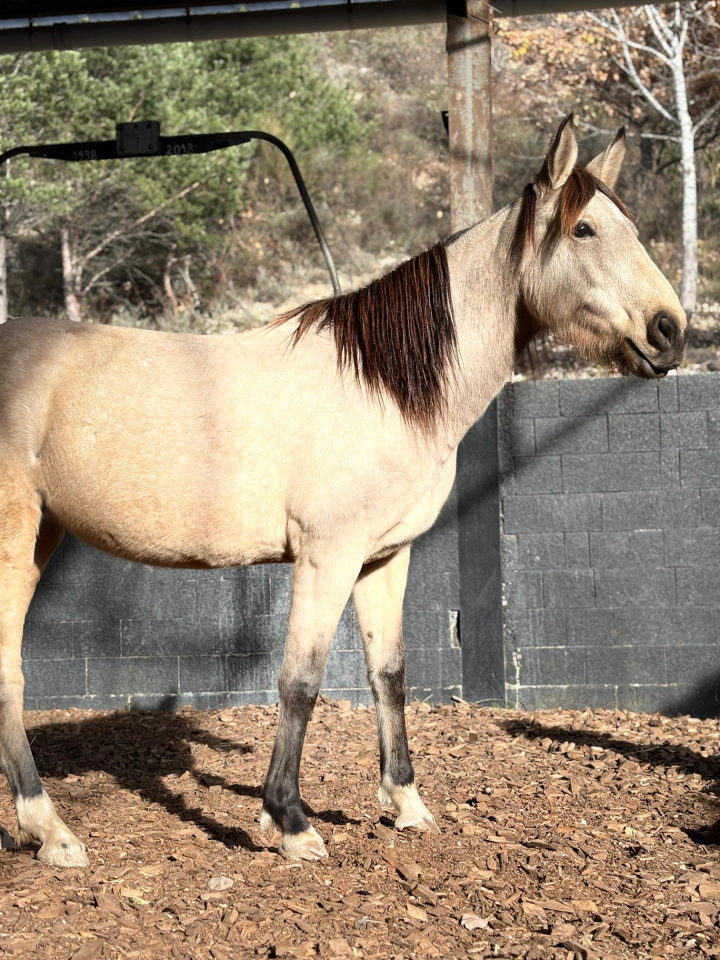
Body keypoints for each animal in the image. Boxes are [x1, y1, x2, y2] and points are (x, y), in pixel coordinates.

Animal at [0, 115, 686, 867]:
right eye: (585, 229)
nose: (671, 330)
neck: (382, 385)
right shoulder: (326, 557)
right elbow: (301, 682)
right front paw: (290, 822)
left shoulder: (384, 558)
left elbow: (389, 671)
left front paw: (405, 803)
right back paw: (52, 830)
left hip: (41, 537)